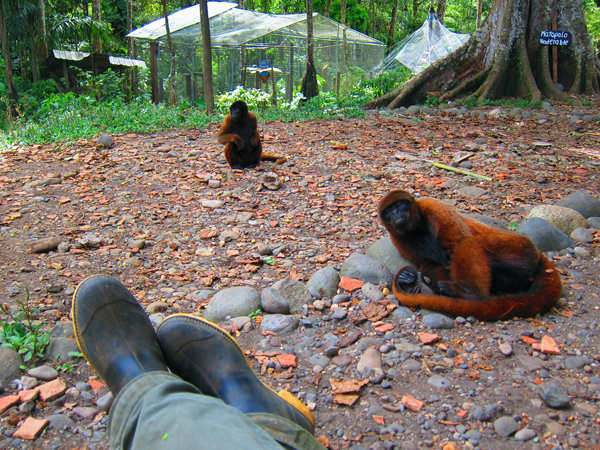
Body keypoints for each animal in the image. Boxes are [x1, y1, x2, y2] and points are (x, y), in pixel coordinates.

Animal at [378, 189, 564, 320]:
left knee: (469, 244)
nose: (395, 213)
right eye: (388, 211)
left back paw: (471, 296)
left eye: (399, 205)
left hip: (521, 249)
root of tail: (538, 254)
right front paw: (412, 279)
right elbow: (434, 263)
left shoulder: (434, 207)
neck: (417, 228)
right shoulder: (398, 240)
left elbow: (457, 244)